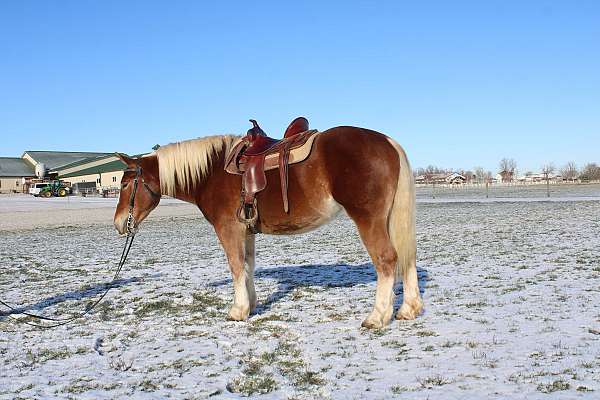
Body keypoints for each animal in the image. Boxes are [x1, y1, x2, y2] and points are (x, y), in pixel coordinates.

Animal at [112, 125, 422, 328]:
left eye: (125, 184)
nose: (118, 224)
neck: (211, 172)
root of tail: (387, 142)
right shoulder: (246, 231)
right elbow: (248, 266)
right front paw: (251, 305)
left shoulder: (228, 229)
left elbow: (236, 266)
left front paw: (237, 311)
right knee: (406, 259)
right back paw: (408, 309)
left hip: (369, 219)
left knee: (387, 260)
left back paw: (377, 317)